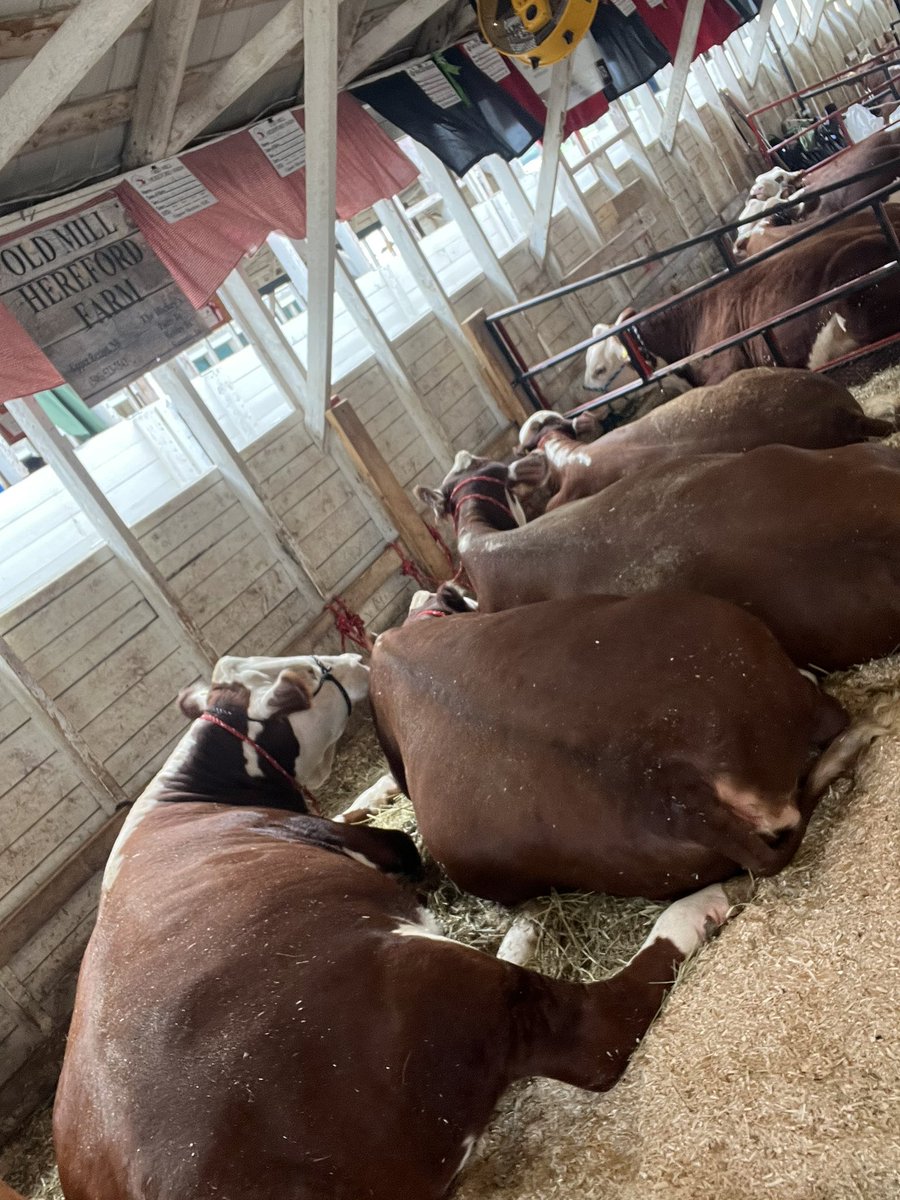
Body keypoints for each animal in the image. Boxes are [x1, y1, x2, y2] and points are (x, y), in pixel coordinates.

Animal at [54, 650, 738, 1200]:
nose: (352, 657)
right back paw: (689, 909)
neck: (191, 794)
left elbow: (362, 802)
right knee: (595, 1033)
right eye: (317, 675)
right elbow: (399, 841)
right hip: (432, 981)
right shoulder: (366, 843)